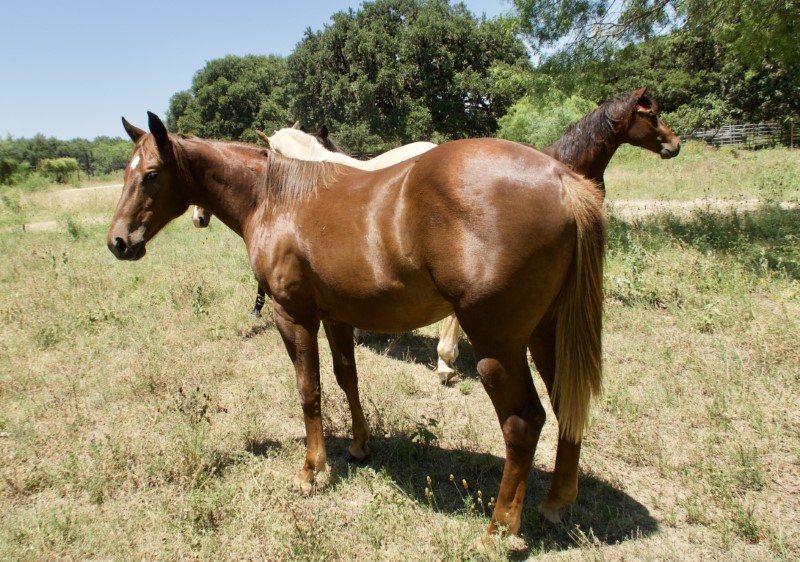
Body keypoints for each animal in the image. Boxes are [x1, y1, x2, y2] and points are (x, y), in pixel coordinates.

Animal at [108, 111, 608, 536]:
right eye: (126, 174)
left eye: (151, 174)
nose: (118, 242)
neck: (278, 199)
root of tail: (562, 180)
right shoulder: (337, 317)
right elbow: (347, 377)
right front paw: (359, 446)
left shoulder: (294, 317)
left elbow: (309, 389)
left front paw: (311, 471)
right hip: (547, 334)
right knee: (566, 405)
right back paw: (556, 503)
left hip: (497, 346)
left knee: (524, 422)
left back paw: (499, 530)